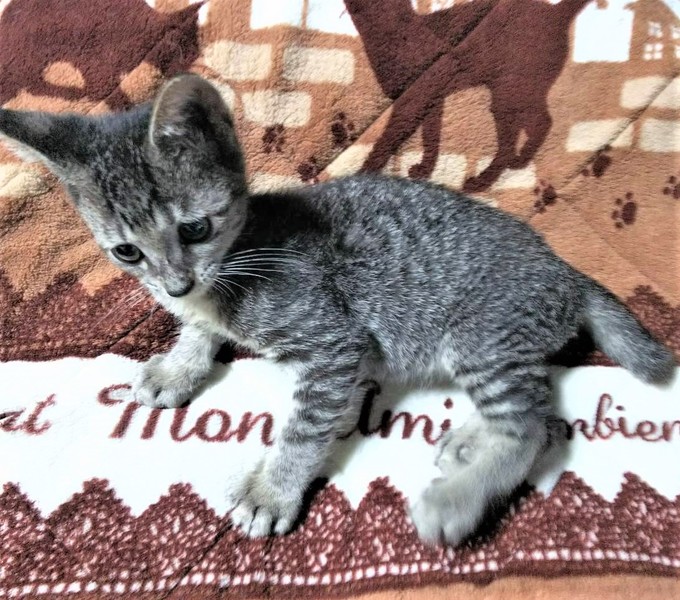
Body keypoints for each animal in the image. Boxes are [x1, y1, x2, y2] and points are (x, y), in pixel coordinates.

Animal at [0, 75, 673, 546]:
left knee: (532, 427)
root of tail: (565, 270)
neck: (240, 256)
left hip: (482, 335)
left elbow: (302, 429)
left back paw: (456, 499)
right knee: (537, 418)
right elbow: (198, 330)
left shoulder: (333, 343)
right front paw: (178, 364)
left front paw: (272, 491)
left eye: (194, 229)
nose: (175, 284)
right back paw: (467, 445)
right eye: (126, 252)